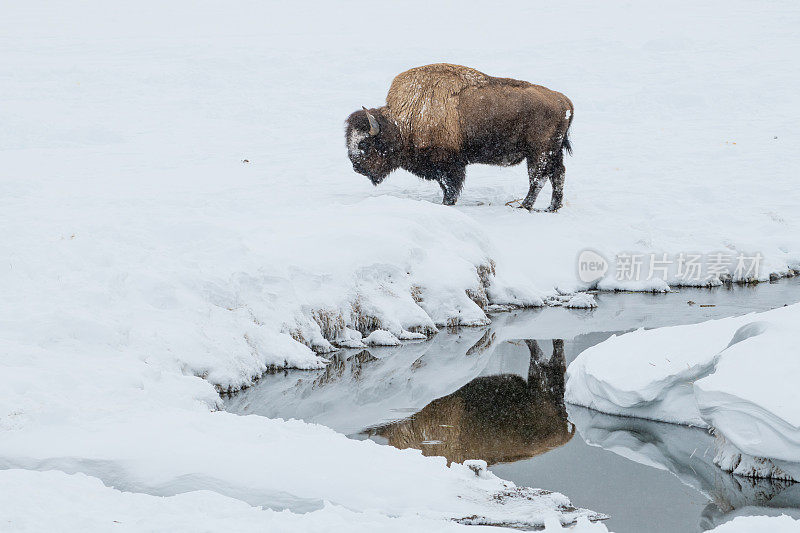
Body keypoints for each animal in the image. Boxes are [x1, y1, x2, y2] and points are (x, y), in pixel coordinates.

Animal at [346, 62, 572, 210]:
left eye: (364, 144)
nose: (356, 167)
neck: (403, 120)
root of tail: (563, 100)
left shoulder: (448, 165)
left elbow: (450, 187)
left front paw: (447, 204)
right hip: (553, 152)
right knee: (558, 174)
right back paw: (552, 207)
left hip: (539, 152)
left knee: (538, 178)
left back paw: (524, 206)